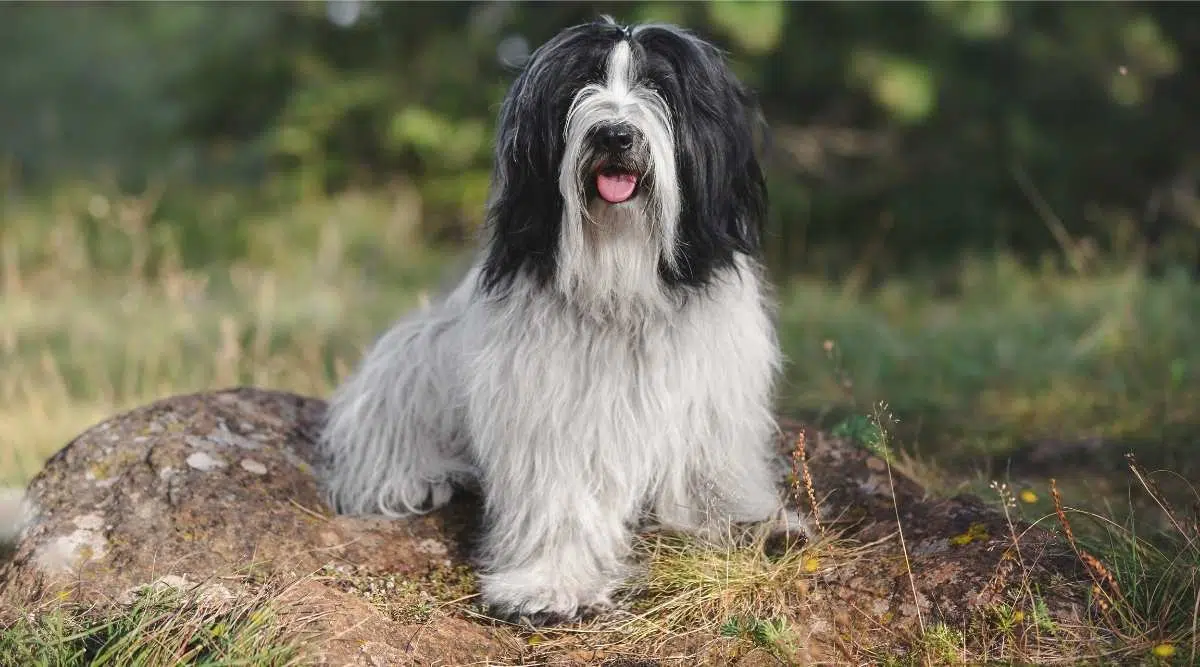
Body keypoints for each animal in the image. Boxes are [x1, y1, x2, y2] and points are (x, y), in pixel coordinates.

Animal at [319, 15, 806, 623]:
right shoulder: (552, 409)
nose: (614, 135)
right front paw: (551, 583)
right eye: (581, 84)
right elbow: (561, 495)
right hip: (413, 356)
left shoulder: (712, 396)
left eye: (658, 86)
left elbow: (712, 469)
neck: (622, 279)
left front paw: (752, 523)